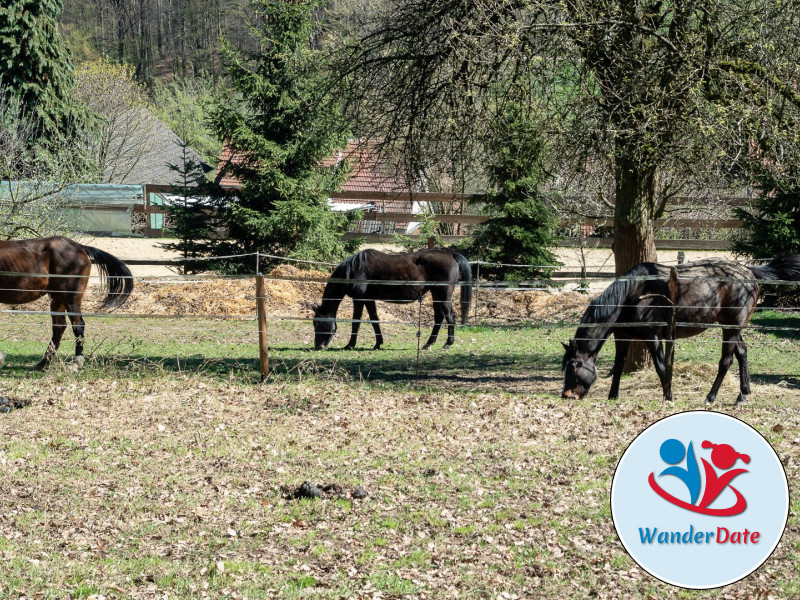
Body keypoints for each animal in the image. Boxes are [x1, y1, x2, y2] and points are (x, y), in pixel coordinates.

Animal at [0, 236, 133, 368]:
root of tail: (81, 248)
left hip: (70, 299)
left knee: (78, 325)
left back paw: (76, 362)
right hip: (57, 298)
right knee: (59, 327)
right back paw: (43, 363)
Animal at [312, 248, 472, 352]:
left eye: (317, 323)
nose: (318, 346)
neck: (354, 269)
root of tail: (451, 255)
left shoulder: (359, 299)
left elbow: (356, 322)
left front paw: (350, 345)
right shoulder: (369, 299)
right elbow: (374, 320)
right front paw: (378, 343)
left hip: (443, 295)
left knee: (449, 316)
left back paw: (447, 344)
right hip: (436, 294)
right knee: (439, 317)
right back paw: (428, 344)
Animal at [560, 254, 800, 408]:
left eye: (574, 366)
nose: (567, 396)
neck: (633, 293)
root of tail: (749, 271)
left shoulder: (653, 336)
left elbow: (660, 367)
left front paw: (669, 396)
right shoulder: (623, 336)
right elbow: (618, 367)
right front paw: (612, 396)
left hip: (730, 328)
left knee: (727, 360)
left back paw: (711, 397)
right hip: (732, 327)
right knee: (742, 353)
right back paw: (742, 395)